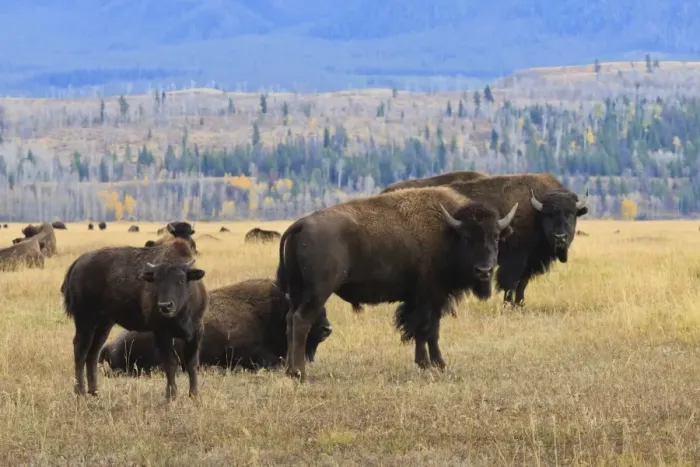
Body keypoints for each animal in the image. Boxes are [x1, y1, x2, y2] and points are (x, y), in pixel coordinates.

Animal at [60, 238, 208, 400]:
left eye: (181, 279)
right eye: (156, 281)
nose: (165, 306)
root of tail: (77, 263)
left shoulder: (196, 333)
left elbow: (191, 364)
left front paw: (194, 395)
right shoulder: (163, 333)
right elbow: (171, 363)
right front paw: (171, 396)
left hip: (104, 325)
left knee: (93, 353)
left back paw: (94, 392)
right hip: (85, 321)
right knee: (80, 351)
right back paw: (80, 392)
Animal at [276, 185, 518, 381]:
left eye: (496, 236)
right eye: (467, 237)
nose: (484, 271)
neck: (447, 232)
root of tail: (301, 223)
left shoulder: (426, 300)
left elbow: (427, 330)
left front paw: (431, 363)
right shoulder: (430, 297)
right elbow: (427, 329)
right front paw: (434, 363)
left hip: (297, 291)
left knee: (289, 320)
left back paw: (290, 371)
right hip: (318, 292)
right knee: (301, 321)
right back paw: (299, 373)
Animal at [432, 173, 589, 306]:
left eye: (571, 213)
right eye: (548, 214)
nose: (560, 237)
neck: (535, 213)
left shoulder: (528, 263)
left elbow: (522, 283)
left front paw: (520, 304)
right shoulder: (515, 260)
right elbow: (510, 284)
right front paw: (508, 305)